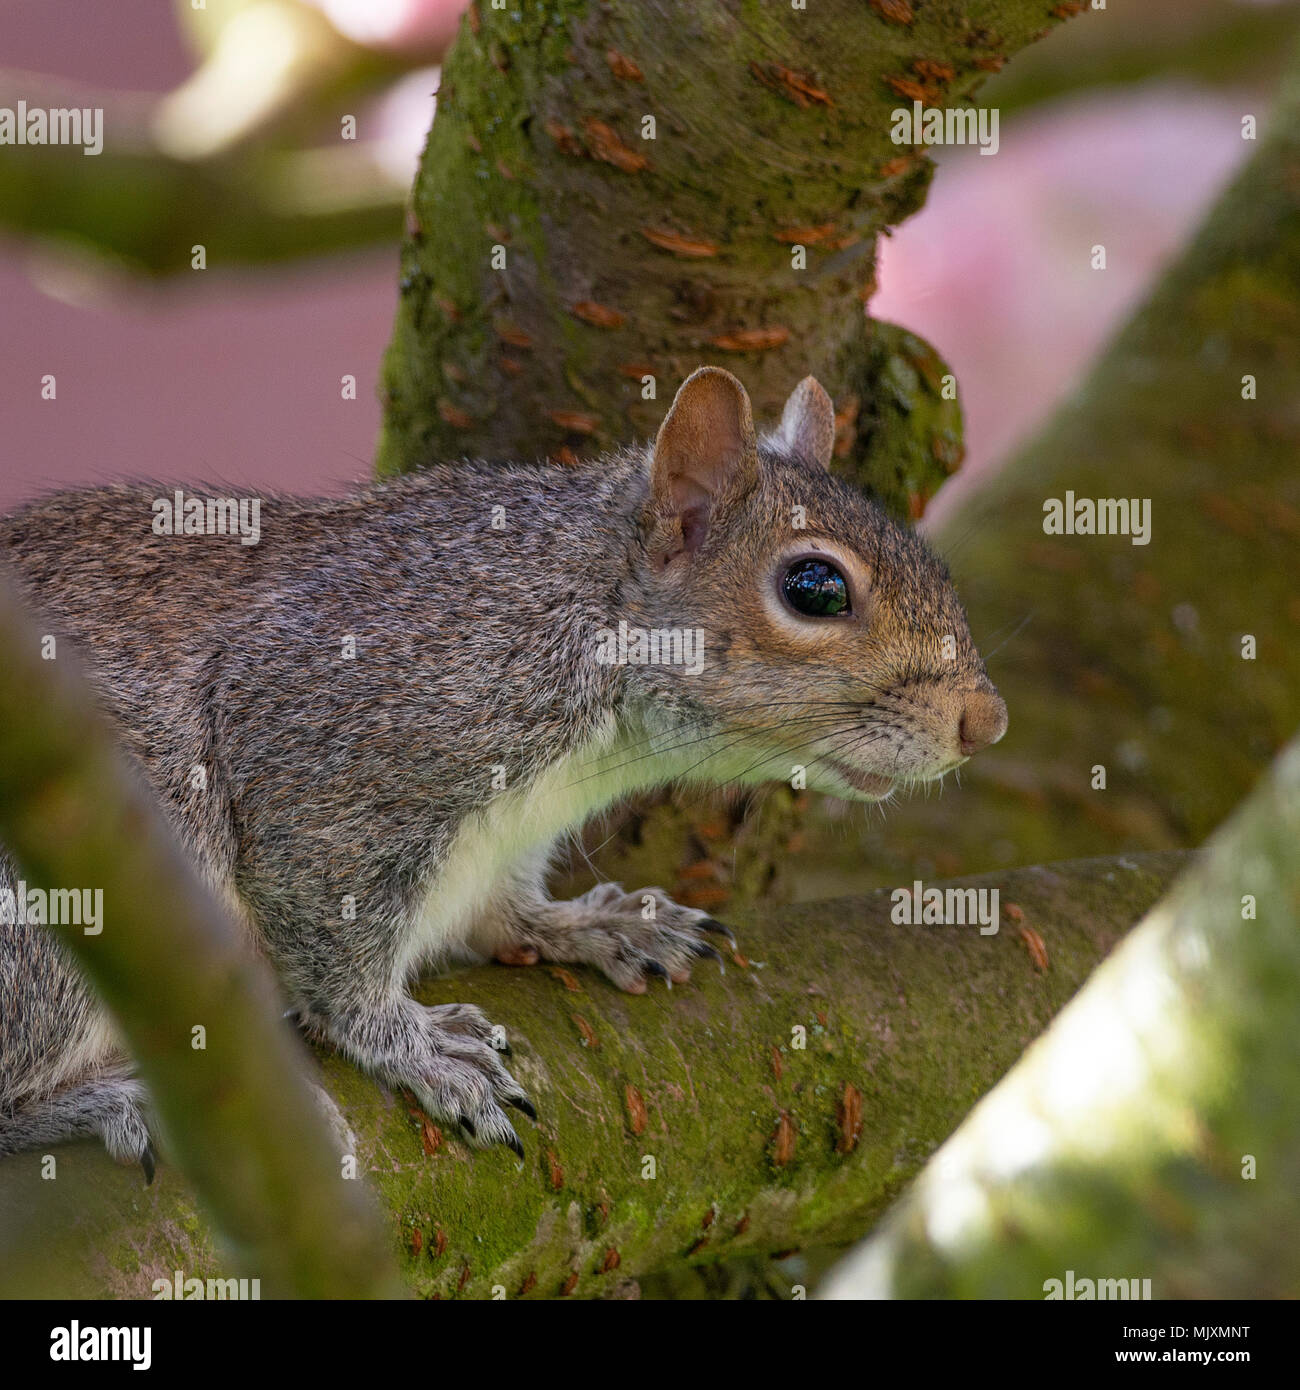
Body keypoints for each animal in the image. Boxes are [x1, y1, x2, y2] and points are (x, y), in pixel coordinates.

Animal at [0, 366, 1006, 1162]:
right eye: (815, 587)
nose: (985, 721)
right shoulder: (329, 755)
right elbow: (331, 939)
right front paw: (410, 1045)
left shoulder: (504, 835)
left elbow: (500, 909)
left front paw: (593, 922)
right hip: (57, 923)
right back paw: (116, 1101)